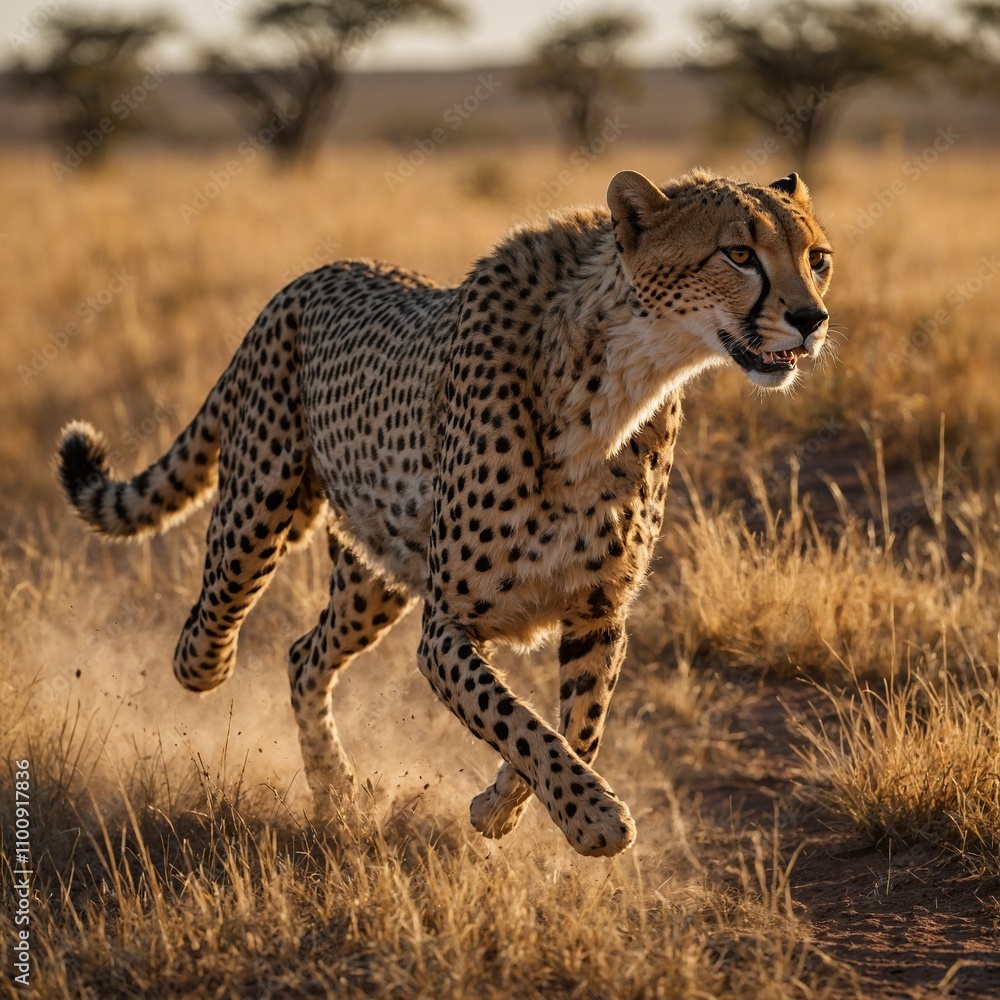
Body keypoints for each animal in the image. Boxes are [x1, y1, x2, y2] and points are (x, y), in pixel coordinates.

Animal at [56, 168, 833, 857]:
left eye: (817, 259)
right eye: (739, 254)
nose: (811, 318)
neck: (619, 379)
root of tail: (305, 279)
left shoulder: (599, 611)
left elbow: (580, 724)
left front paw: (501, 809)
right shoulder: (447, 625)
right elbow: (520, 721)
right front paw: (592, 818)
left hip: (376, 573)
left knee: (305, 654)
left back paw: (336, 791)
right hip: (260, 510)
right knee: (210, 626)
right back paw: (211, 668)